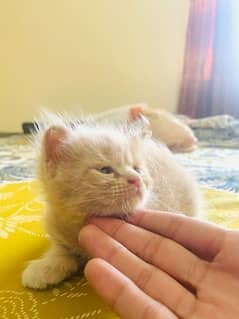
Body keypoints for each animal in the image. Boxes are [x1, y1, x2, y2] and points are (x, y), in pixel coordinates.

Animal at [22, 113, 200, 290]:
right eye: (105, 170)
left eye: (137, 169)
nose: (136, 179)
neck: (79, 226)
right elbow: (60, 251)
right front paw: (44, 268)